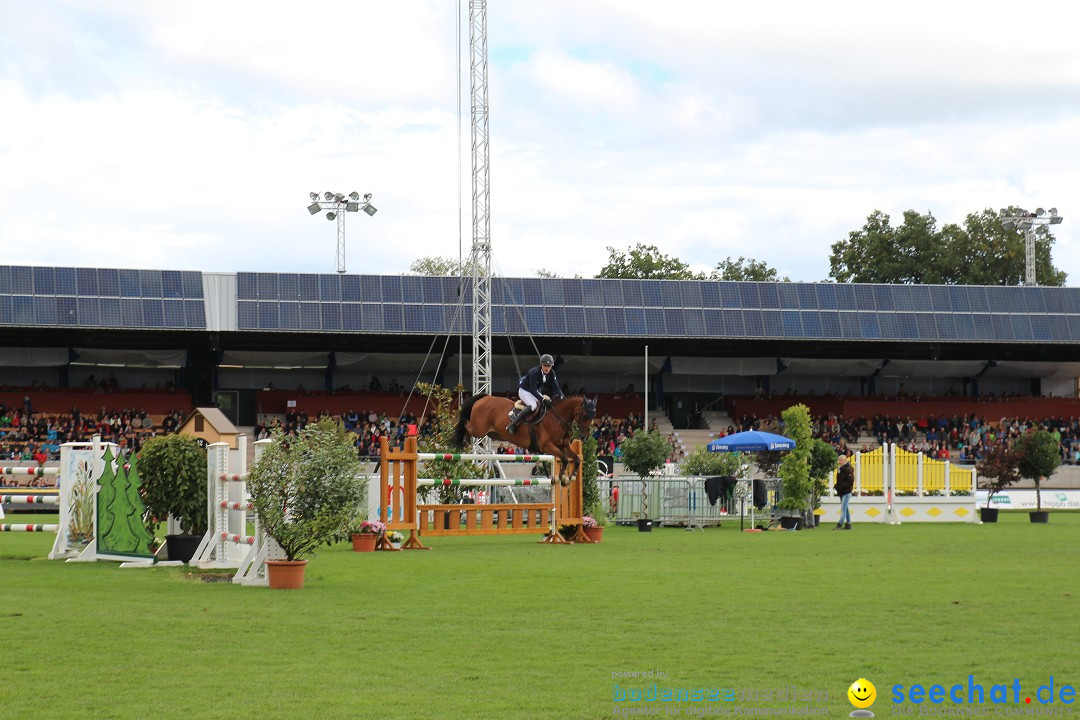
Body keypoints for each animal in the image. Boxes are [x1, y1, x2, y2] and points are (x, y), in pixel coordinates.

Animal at [449, 390, 600, 487]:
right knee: (465, 424)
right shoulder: (547, 446)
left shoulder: (563, 446)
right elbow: (564, 459)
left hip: (492, 432)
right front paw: (560, 478)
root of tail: (485, 397)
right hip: (479, 429)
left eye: (593, 415)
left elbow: (576, 459)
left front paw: (571, 477)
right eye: (585, 415)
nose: (584, 437)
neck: (557, 419)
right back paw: (464, 441)